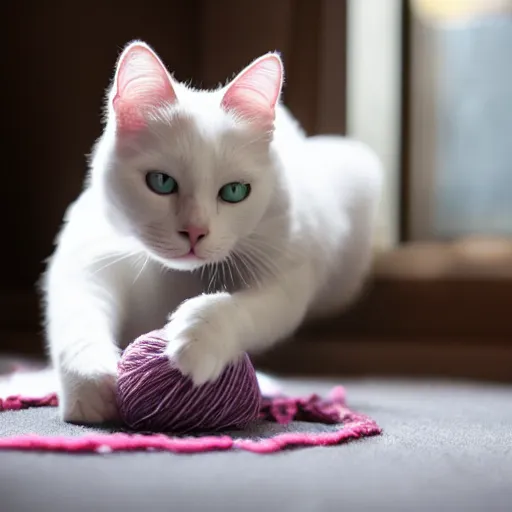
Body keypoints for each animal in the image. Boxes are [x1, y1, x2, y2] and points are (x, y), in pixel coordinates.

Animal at [42, 40, 382, 424]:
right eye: (161, 182)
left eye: (234, 191)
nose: (194, 231)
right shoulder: (89, 251)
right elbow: (77, 317)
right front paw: (90, 383)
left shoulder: (287, 276)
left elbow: (240, 307)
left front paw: (197, 338)